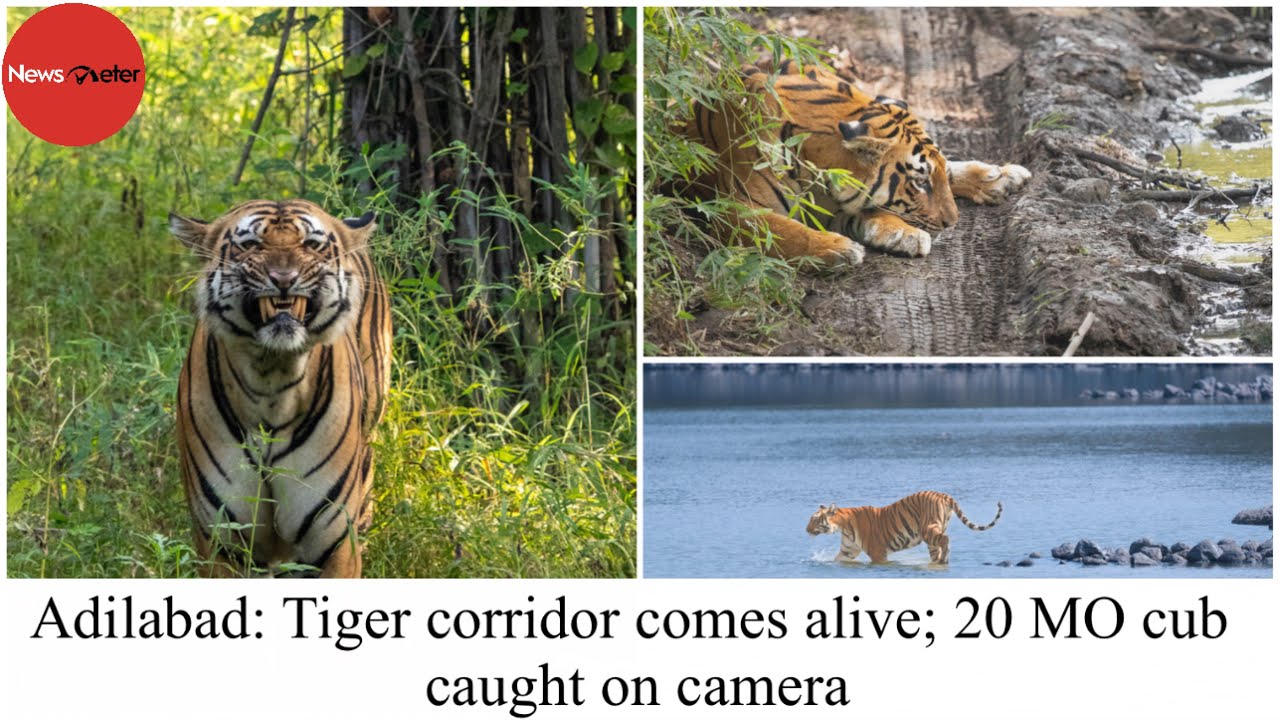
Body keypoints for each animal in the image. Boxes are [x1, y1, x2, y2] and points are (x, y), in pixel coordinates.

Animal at [169, 199, 392, 578]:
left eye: (312, 245)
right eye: (250, 245)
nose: (284, 279)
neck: (271, 385)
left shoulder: (333, 543)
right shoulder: (221, 542)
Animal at [681, 59, 1031, 266]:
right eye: (919, 182)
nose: (952, 223)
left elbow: (875, 209)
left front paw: (903, 234)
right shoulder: (733, 209)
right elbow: (785, 230)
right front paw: (837, 248)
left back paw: (1003, 176)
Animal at [806, 491, 1002, 564]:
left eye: (815, 519)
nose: (806, 530)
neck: (843, 525)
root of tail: (942, 494)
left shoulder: (877, 552)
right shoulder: (848, 551)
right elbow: (837, 559)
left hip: (927, 529)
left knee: (945, 540)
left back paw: (944, 560)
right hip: (933, 534)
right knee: (939, 546)